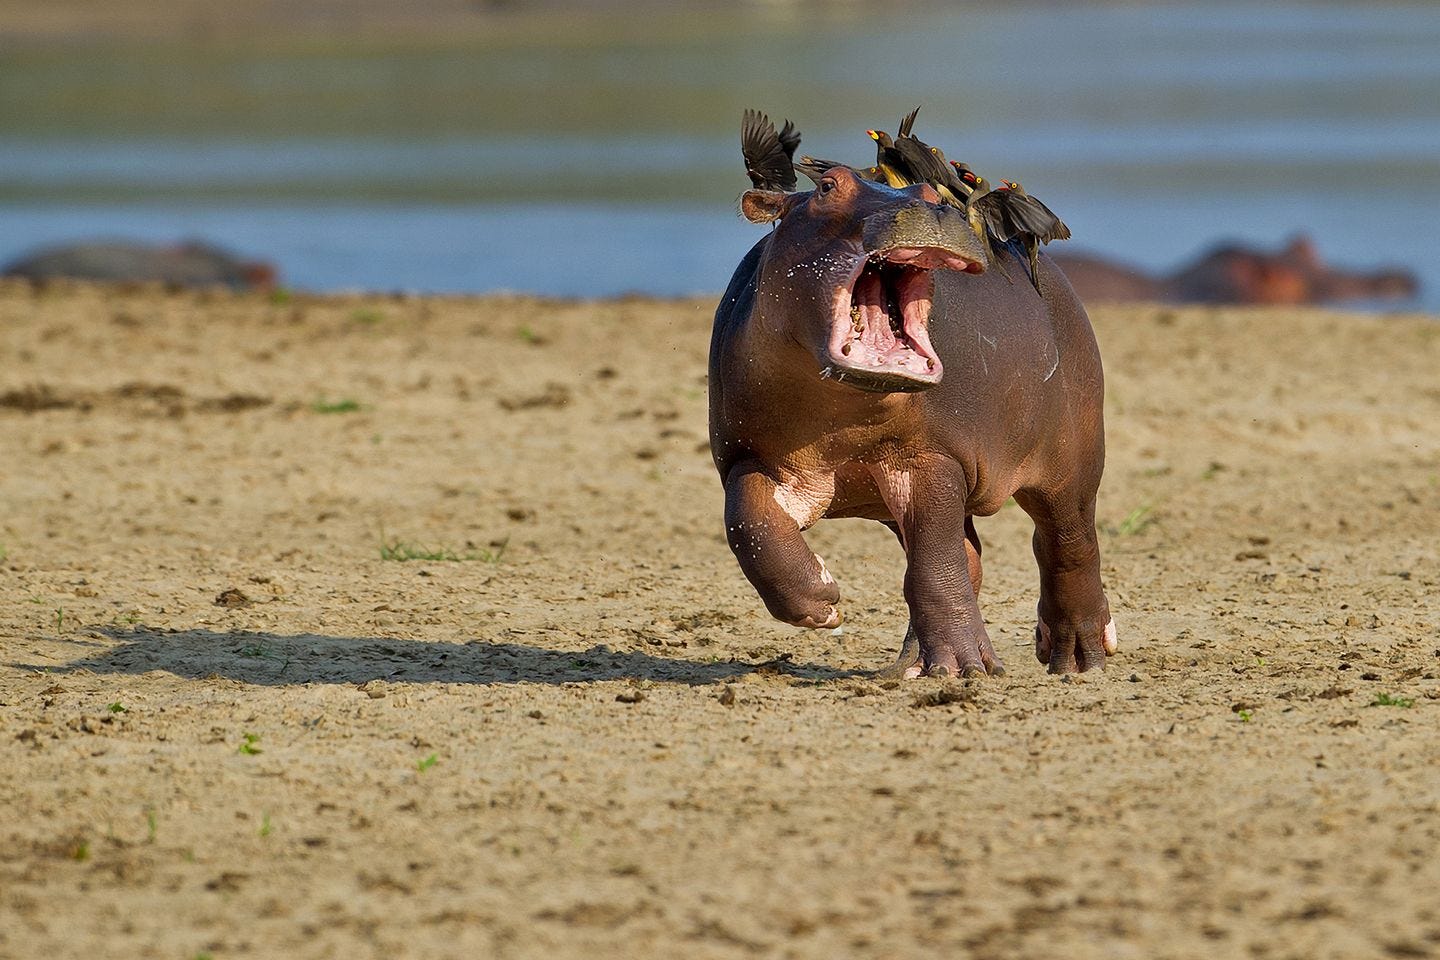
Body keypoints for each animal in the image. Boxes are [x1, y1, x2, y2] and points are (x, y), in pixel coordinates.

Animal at [710, 167, 1116, 676]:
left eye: (928, 192)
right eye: (826, 185)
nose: (929, 208)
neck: (843, 416)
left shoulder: (932, 458)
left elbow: (936, 562)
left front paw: (966, 668)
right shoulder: (749, 457)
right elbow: (749, 522)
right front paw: (822, 603)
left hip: (1072, 462)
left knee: (1066, 544)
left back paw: (1078, 658)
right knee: (969, 558)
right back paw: (910, 664)